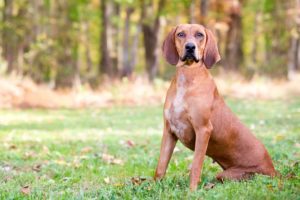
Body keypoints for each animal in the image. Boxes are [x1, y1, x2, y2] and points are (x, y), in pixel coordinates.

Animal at [155, 24, 276, 191]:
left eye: (199, 35)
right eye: (180, 34)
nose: (190, 47)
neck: (187, 75)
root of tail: (274, 171)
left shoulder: (203, 130)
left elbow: (196, 166)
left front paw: (192, 191)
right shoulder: (169, 131)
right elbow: (161, 166)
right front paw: (152, 187)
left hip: (230, 174)